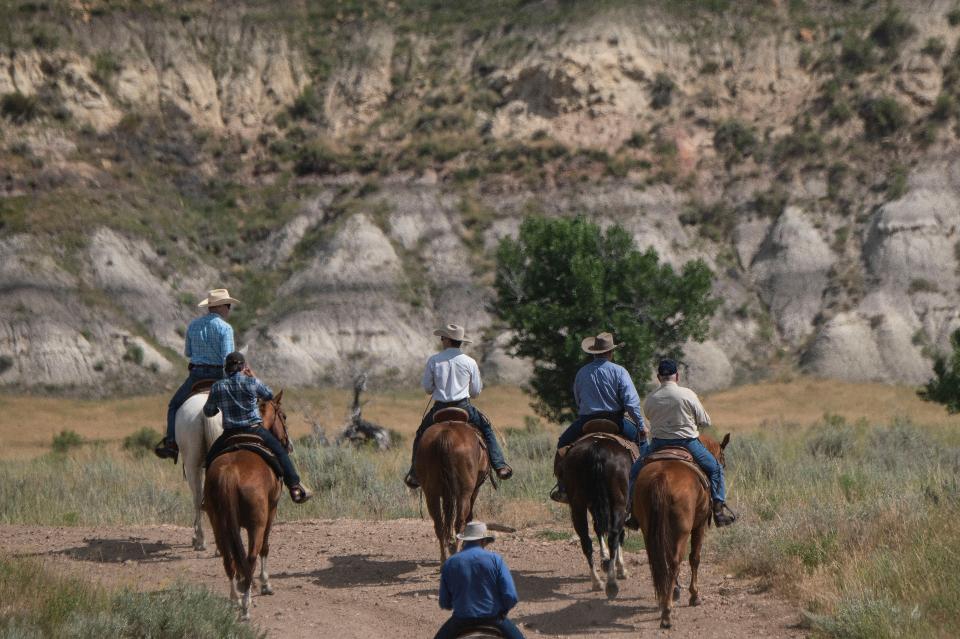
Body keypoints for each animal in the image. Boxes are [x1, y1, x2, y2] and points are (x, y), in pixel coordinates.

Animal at [204, 390, 290, 620]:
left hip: (217, 522)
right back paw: (245, 604)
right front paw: (266, 584)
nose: (287, 444)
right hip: (256, 524)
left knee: (228, 558)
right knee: (251, 557)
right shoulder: (271, 511)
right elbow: (265, 548)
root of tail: (230, 473)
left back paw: (235, 597)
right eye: (284, 416)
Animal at [414, 410, 488, 564]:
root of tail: (446, 435)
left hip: (431, 494)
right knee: (459, 521)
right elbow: (468, 517)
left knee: (439, 524)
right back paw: (456, 551)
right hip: (464, 493)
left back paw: (444, 558)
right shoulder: (474, 490)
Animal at [560, 436, 632, 600]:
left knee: (586, 540)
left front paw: (605, 559)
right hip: (618, 503)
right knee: (614, 535)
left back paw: (597, 581)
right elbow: (618, 534)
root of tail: (597, 450)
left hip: (578, 505)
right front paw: (620, 567)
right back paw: (611, 584)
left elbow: (598, 529)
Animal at [632, 432, 732, 628]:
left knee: (658, 561)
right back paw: (667, 612)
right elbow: (695, 558)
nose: (722, 465)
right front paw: (694, 596)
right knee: (675, 562)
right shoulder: (699, 526)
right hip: (682, 532)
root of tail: (661, 477)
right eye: (722, 461)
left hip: (649, 531)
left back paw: (664, 598)